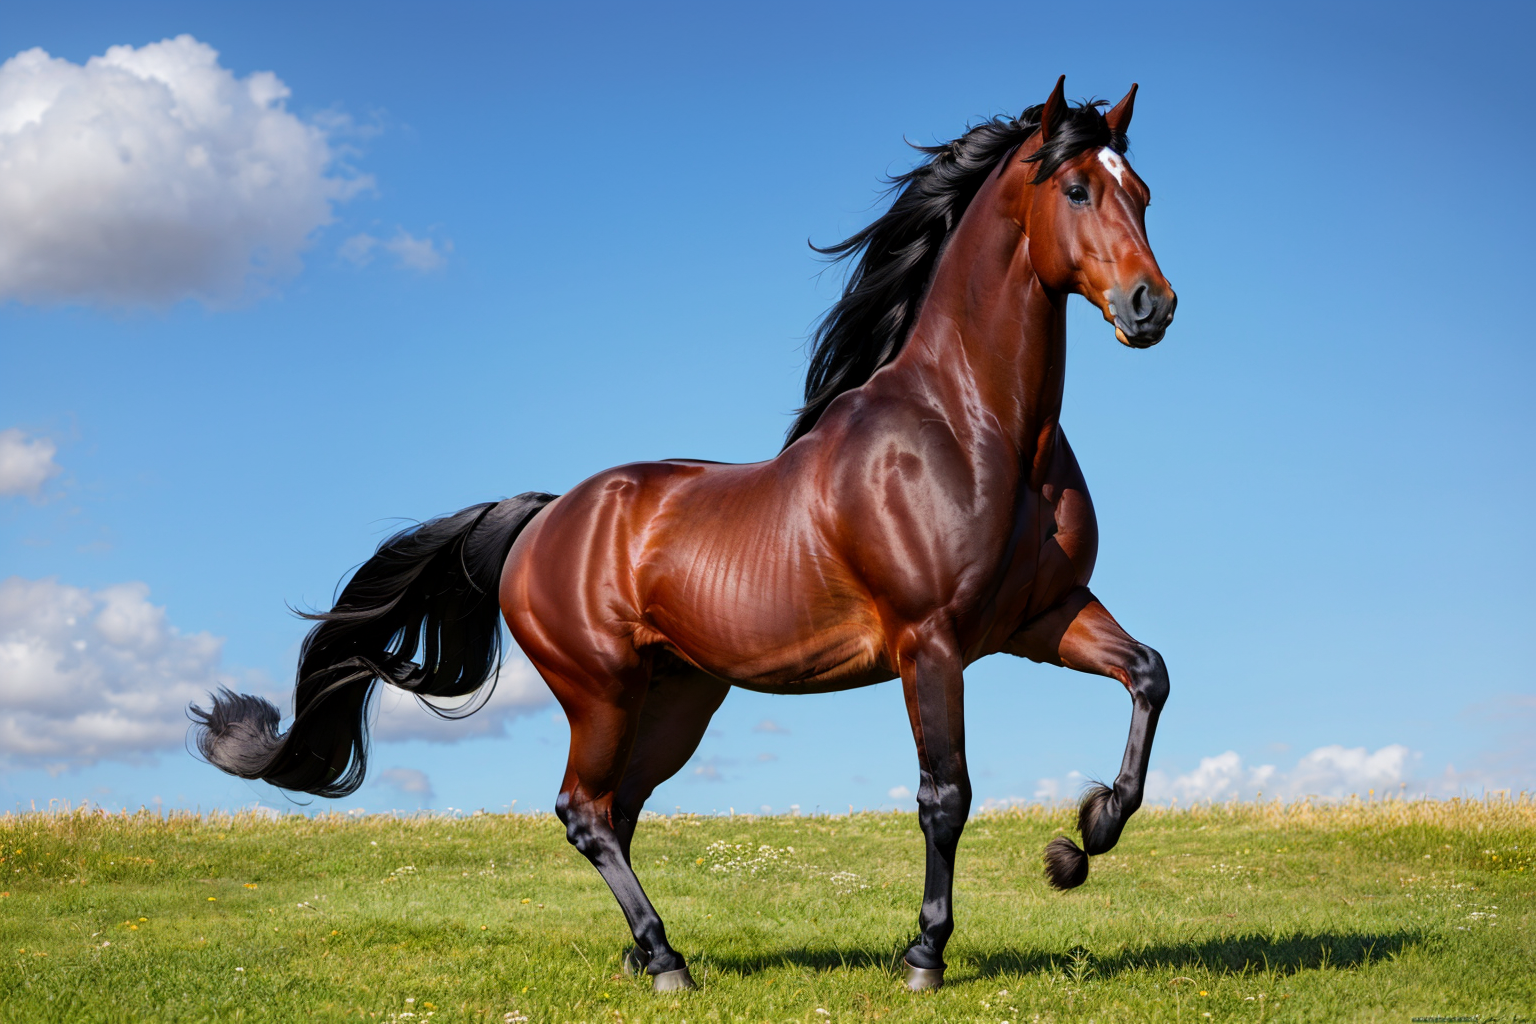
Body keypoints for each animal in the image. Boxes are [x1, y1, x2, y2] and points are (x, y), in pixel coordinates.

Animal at [191, 75, 1176, 993]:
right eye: (1077, 189)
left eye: (1142, 191)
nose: (1150, 306)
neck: (973, 429)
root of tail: (544, 515)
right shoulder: (928, 642)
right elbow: (946, 793)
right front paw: (925, 954)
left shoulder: (1041, 617)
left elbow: (1148, 673)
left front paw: (1083, 837)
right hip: (601, 691)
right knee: (583, 810)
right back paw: (666, 960)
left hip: (675, 700)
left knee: (616, 809)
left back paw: (641, 955)